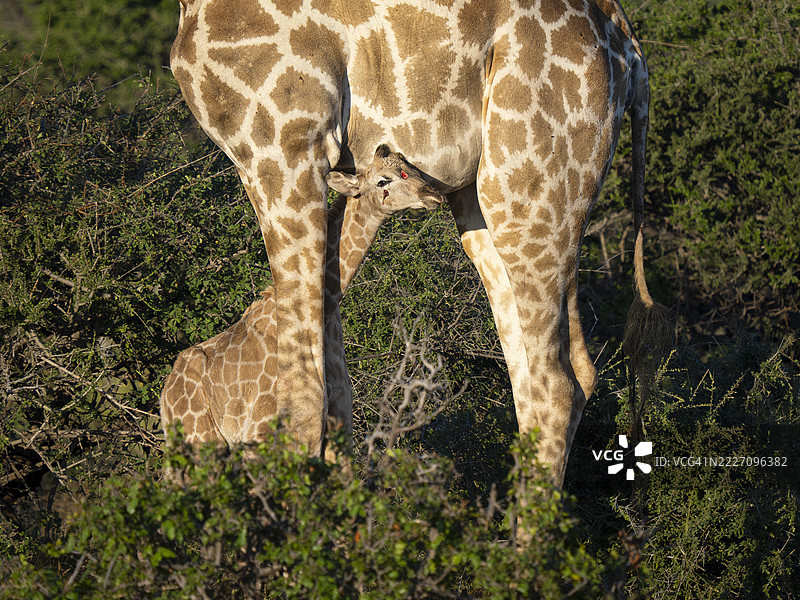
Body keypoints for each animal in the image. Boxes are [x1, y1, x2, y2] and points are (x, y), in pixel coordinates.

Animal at [160, 146, 444, 457]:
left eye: (412, 167)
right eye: (384, 181)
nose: (433, 195)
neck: (325, 307)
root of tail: (164, 395)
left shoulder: (336, 427)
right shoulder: (260, 435)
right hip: (201, 440)